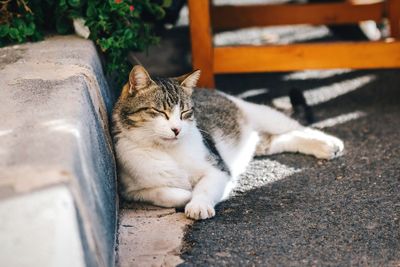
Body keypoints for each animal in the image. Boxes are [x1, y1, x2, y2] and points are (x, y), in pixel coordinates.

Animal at [111, 65, 344, 220]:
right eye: (159, 112)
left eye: (185, 113)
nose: (177, 129)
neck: (169, 151)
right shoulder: (131, 191)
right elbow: (163, 192)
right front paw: (186, 195)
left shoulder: (218, 168)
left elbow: (205, 188)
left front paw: (198, 204)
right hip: (258, 140)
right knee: (278, 139)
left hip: (260, 113)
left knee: (297, 127)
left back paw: (330, 143)